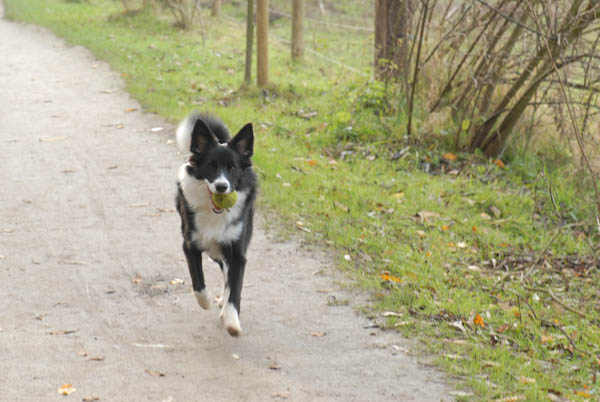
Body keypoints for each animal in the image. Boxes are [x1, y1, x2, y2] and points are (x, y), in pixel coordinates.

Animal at [175, 112, 256, 336]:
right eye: (211, 165)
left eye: (233, 168)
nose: (221, 187)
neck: (214, 214)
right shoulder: (190, 244)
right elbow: (198, 283)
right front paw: (206, 302)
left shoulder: (237, 251)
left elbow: (235, 289)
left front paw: (232, 320)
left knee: (227, 273)